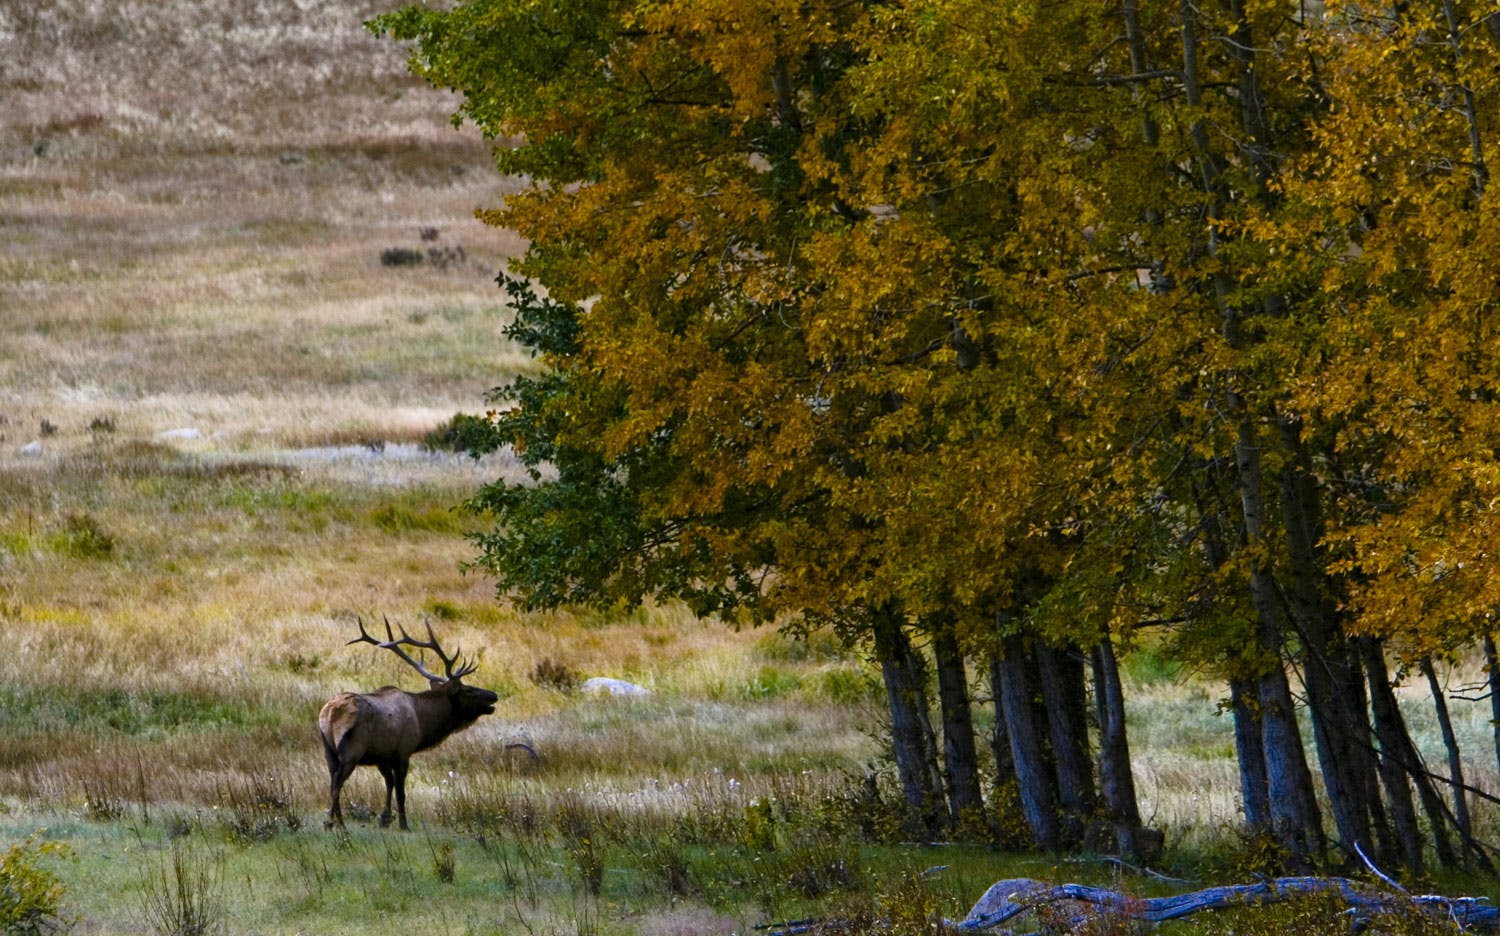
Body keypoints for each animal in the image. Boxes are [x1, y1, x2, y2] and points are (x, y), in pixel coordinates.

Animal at [321, 618, 498, 828]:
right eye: (468, 690)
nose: (494, 695)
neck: (423, 723)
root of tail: (330, 713)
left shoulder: (383, 755)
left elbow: (388, 783)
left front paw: (385, 819)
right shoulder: (404, 750)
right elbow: (400, 791)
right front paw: (403, 824)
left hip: (328, 749)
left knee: (332, 779)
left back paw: (336, 821)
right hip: (353, 749)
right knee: (337, 782)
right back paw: (335, 824)